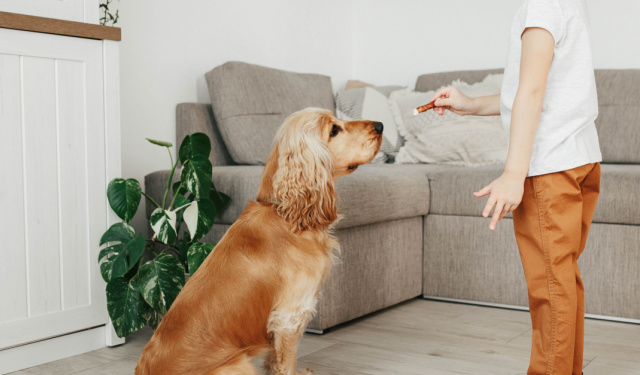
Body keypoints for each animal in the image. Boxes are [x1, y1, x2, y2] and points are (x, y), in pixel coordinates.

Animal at [135, 107, 382, 374]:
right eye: (334, 130)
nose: (380, 126)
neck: (284, 212)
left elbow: (276, 359)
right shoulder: (290, 314)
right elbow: (287, 361)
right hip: (238, 365)